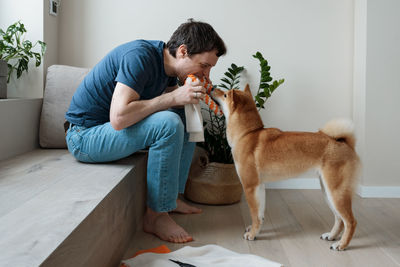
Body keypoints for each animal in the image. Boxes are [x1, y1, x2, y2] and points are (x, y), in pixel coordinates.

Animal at [214, 85, 360, 251]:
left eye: (225, 94)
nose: (212, 88)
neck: (247, 134)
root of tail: (344, 143)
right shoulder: (259, 186)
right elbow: (260, 215)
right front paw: (256, 230)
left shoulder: (250, 187)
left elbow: (254, 214)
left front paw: (252, 235)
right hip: (328, 191)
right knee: (339, 219)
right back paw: (332, 236)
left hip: (336, 192)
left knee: (351, 222)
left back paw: (341, 244)